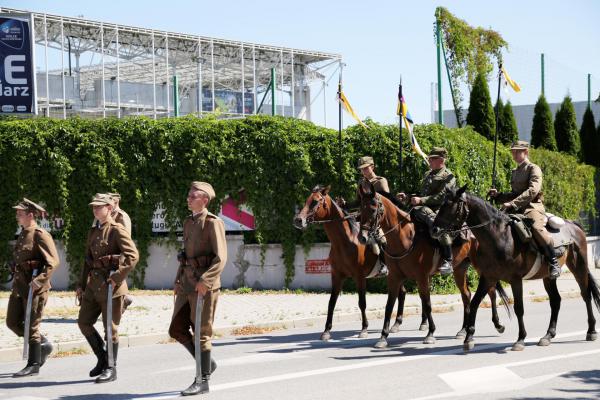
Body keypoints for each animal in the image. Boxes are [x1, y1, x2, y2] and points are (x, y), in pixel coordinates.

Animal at [292, 185, 414, 340]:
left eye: (315, 201)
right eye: (307, 200)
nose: (298, 220)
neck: (345, 241)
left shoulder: (359, 277)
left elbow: (362, 303)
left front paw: (364, 329)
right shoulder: (337, 276)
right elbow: (331, 302)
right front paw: (326, 331)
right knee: (402, 293)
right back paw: (397, 324)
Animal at [358, 181, 508, 346]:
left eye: (373, 209)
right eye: (360, 210)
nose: (362, 237)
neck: (405, 238)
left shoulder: (422, 277)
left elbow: (427, 303)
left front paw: (430, 333)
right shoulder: (394, 278)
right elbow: (389, 306)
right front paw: (383, 337)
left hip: (482, 268)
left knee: (491, 292)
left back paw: (498, 324)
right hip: (459, 269)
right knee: (467, 295)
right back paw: (463, 330)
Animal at [432, 186, 600, 352]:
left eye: (450, 205)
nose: (434, 230)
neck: (500, 237)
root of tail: (573, 225)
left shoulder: (515, 280)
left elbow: (519, 308)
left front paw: (520, 339)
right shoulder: (488, 278)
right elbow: (474, 303)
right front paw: (469, 338)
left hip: (579, 267)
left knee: (586, 295)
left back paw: (591, 331)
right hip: (548, 277)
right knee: (556, 301)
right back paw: (548, 336)